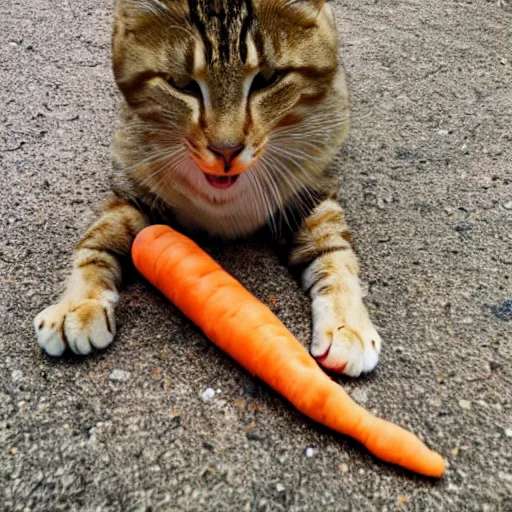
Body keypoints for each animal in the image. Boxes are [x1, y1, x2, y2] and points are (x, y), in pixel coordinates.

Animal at [34, 0, 382, 376]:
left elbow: (335, 252)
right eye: (181, 84)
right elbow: (98, 240)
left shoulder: (309, 191)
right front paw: (77, 304)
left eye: (268, 79)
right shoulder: (134, 185)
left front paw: (348, 323)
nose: (226, 150)